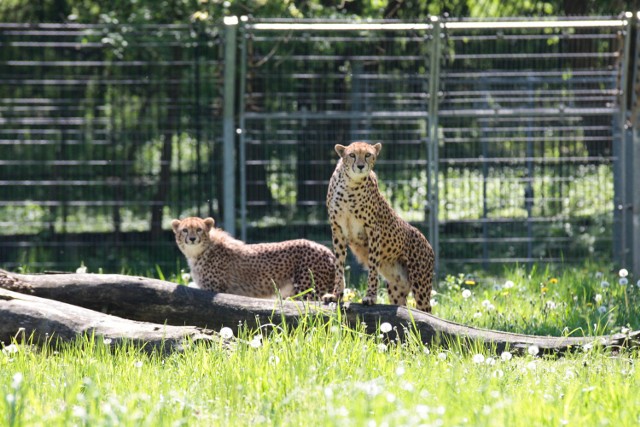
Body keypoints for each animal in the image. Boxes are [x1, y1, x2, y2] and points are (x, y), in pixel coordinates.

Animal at [172, 216, 338, 300]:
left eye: (199, 229)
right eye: (185, 230)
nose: (192, 238)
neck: (199, 252)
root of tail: (327, 250)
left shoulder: (215, 290)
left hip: (308, 292)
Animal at [324, 142, 436, 312]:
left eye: (368, 155)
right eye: (352, 155)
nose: (361, 166)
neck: (350, 185)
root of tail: (427, 242)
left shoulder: (373, 230)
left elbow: (372, 266)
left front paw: (370, 297)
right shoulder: (337, 230)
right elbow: (339, 265)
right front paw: (336, 295)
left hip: (420, 285)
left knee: (427, 310)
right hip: (397, 287)